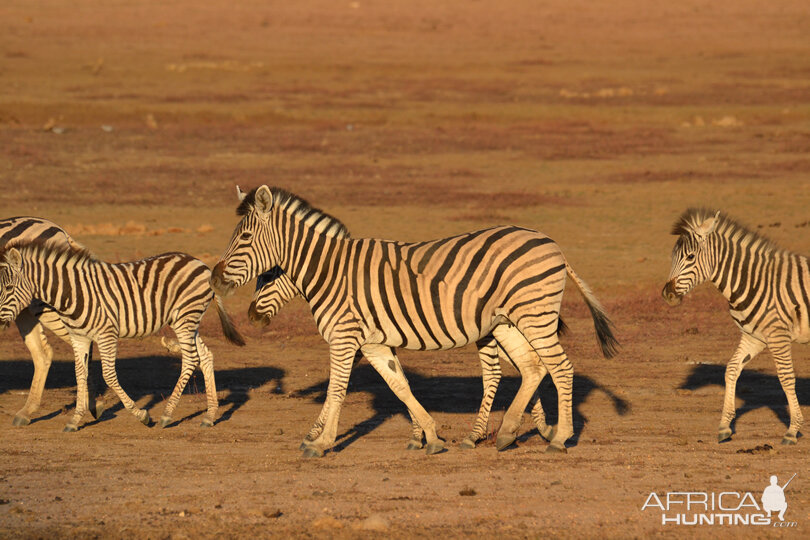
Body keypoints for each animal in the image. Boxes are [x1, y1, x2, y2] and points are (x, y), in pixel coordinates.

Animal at [0, 240, 245, 430]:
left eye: (9, 288)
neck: (73, 294)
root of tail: (199, 263)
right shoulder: (79, 337)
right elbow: (80, 374)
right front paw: (75, 420)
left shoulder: (106, 334)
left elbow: (108, 375)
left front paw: (142, 415)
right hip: (186, 322)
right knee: (205, 356)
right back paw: (210, 416)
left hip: (186, 318)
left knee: (191, 359)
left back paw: (167, 415)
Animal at [248, 264, 560, 450]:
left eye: (266, 280)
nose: (251, 316)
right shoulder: (376, 341)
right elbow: (399, 384)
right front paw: (418, 434)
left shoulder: (361, 340)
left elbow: (345, 385)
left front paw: (314, 435)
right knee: (530, 365)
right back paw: (536, 427)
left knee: (509, 370)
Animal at [660, 209, 804, 446]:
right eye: (673, 256)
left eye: (690, 257)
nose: (667, 295)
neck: (753, 281)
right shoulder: (753, 336)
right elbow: (732, 369)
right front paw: (725, 426)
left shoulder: (778, 335)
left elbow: (785, 377)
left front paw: (792, 430)